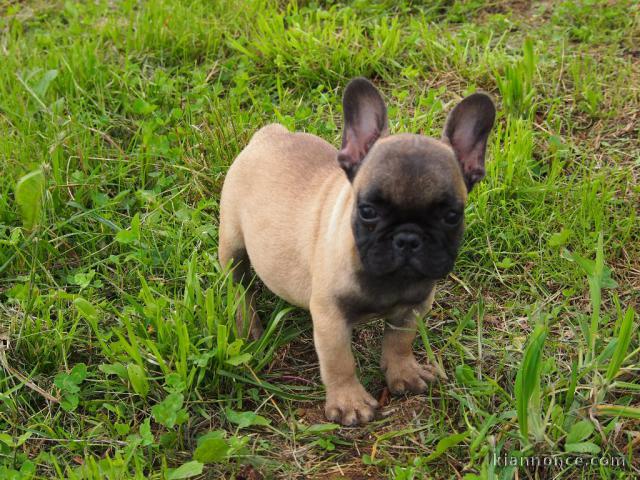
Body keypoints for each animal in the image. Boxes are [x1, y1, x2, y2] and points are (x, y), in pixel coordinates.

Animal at [219, 79, 496, 428]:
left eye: (451, 216)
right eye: (367, 211)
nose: (408, 238)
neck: (387, 280)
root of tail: (269, 134)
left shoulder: (414, 307)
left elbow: (400, 341)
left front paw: (403, 373)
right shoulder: (331, 317)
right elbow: (340, 362)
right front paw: (349, 402)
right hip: (232, 242)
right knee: (237, 284)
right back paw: (247, 323)